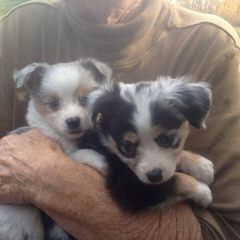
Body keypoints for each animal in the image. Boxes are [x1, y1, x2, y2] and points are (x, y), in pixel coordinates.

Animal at [0, 58, 112, 240]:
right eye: (53, 103)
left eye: (85, 99)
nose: (73, 121)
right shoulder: (65, 154)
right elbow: (82, 153)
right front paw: (102, 162)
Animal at [71, 77, 214, 212]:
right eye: (128, 147)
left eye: (166, 139)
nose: (154, 176)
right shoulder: (130, 188)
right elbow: (174, 181)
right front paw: (202, 190)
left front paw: (201, 165)